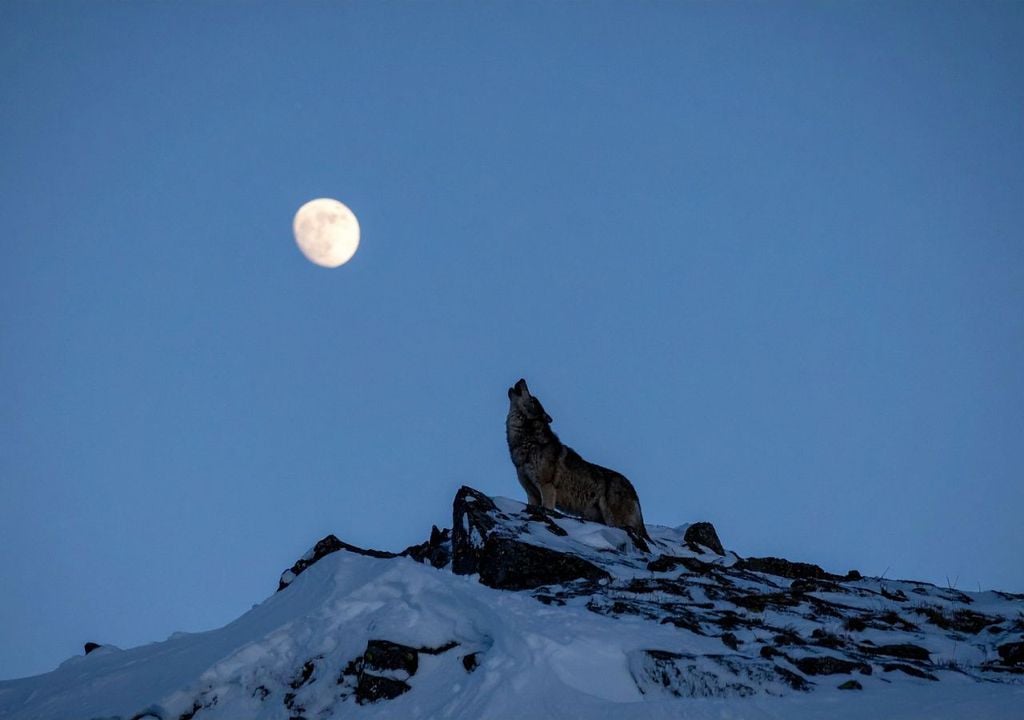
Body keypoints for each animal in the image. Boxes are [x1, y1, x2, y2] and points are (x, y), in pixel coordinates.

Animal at [506, 378, 651, 551]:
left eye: (534, 400)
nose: (522, 379)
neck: (527, 443)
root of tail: (633, 489)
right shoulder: (531, 493)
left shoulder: (547, 487)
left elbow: (547, 508)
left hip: (614, 520)